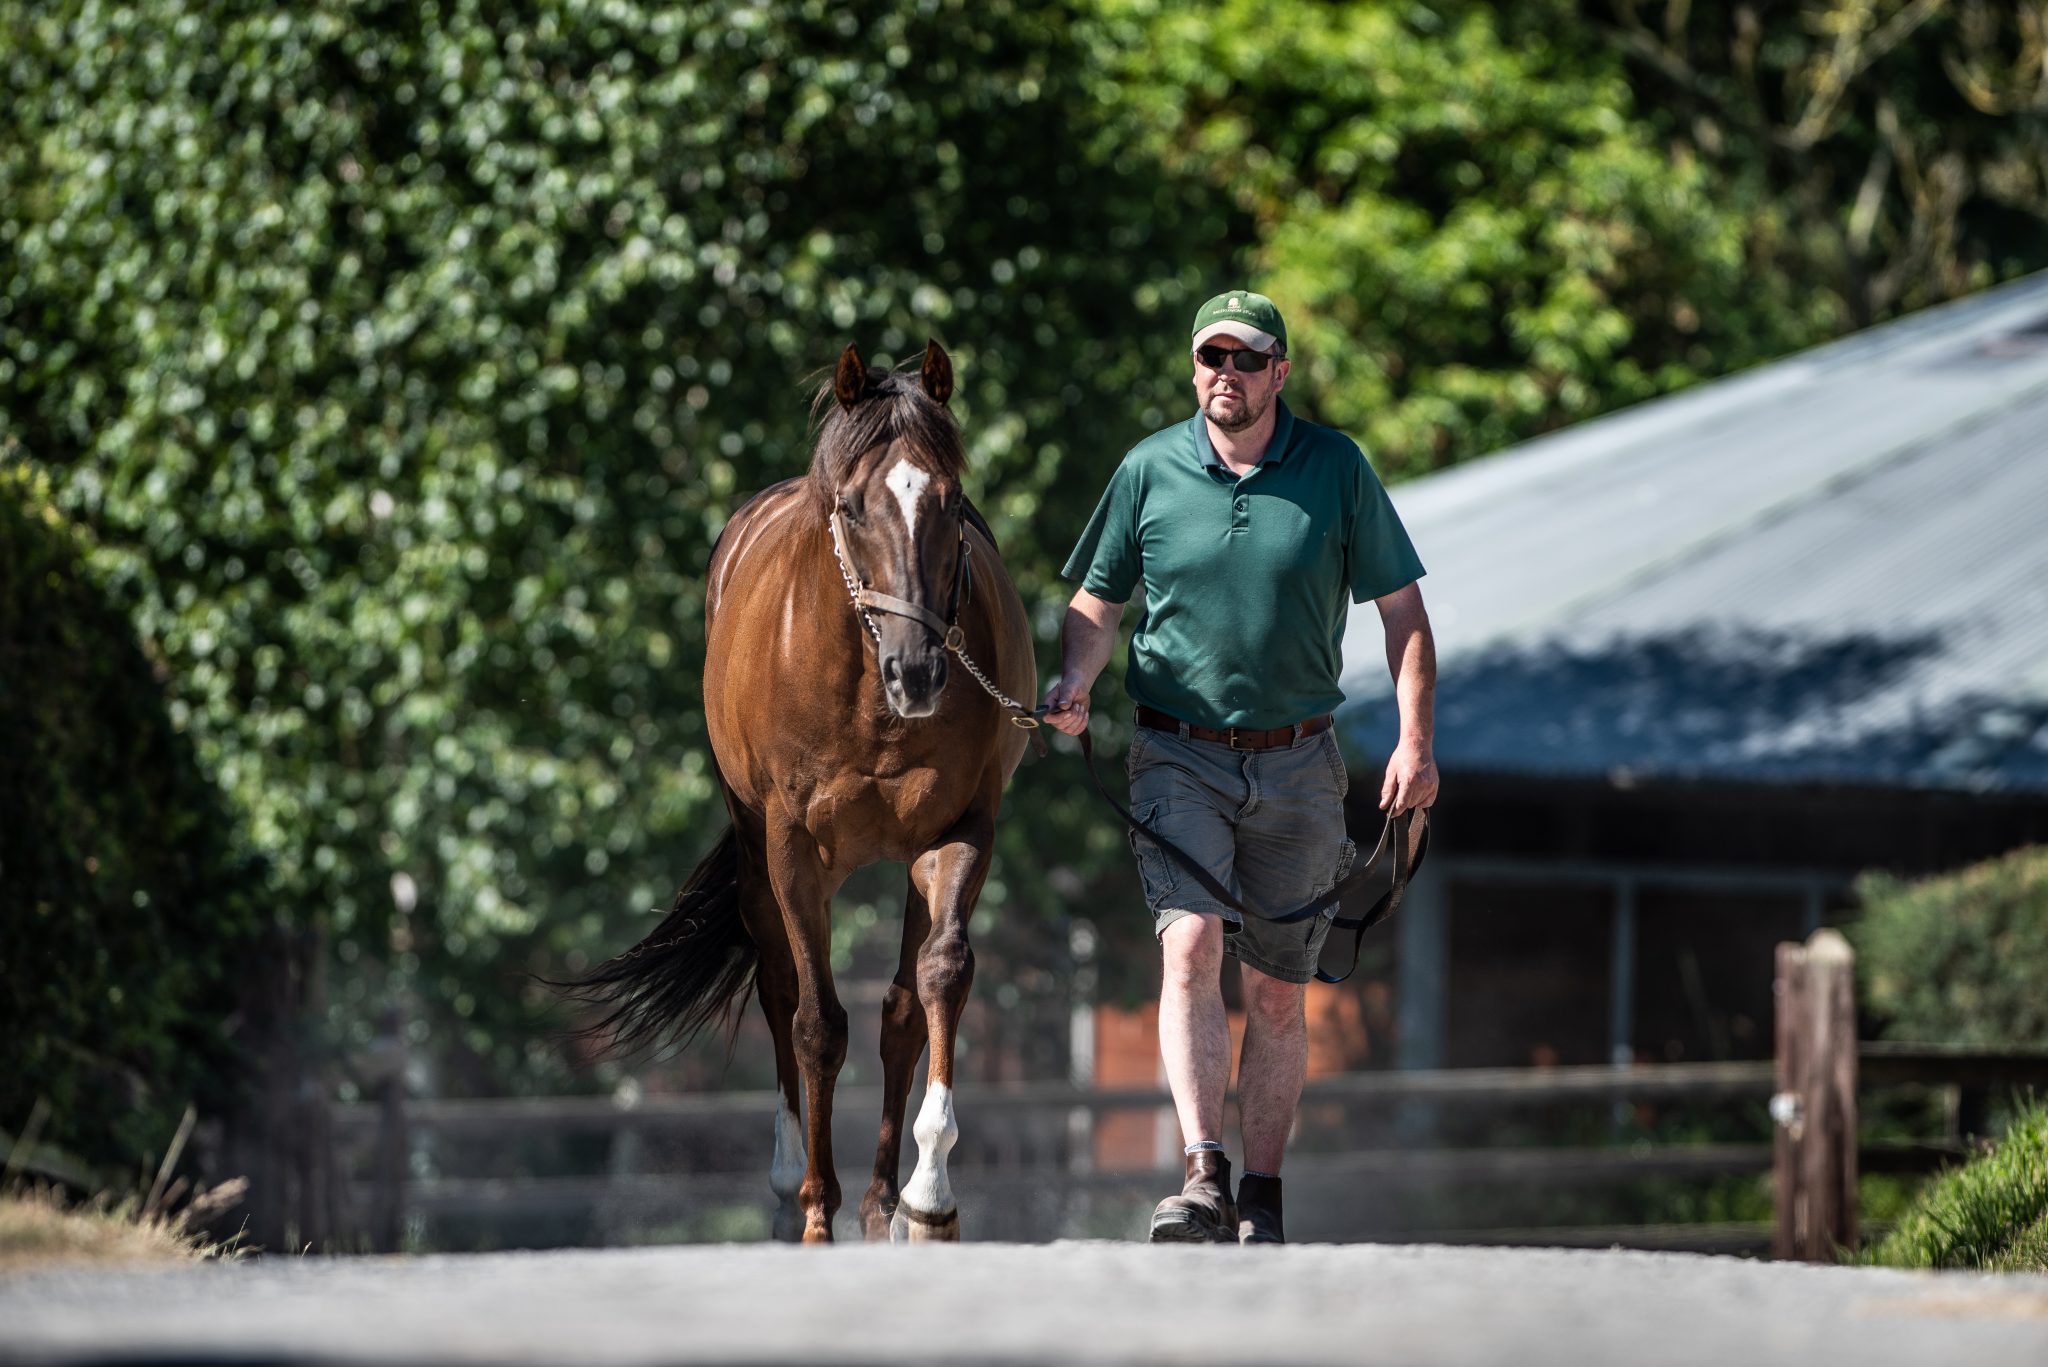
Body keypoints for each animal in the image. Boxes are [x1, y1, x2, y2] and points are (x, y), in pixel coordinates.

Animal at [569, 340, 1032, 1237]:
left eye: (953, 503)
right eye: (851, 507)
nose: (918, 671)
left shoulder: (961, 828)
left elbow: (940, 976)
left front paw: (929, 1195)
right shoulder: (792, 845)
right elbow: (814, 1019)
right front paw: (818, 1206)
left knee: (900, 1008)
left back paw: (885, 1202)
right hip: (758, 856)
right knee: (781, 983)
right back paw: (792, 1191)